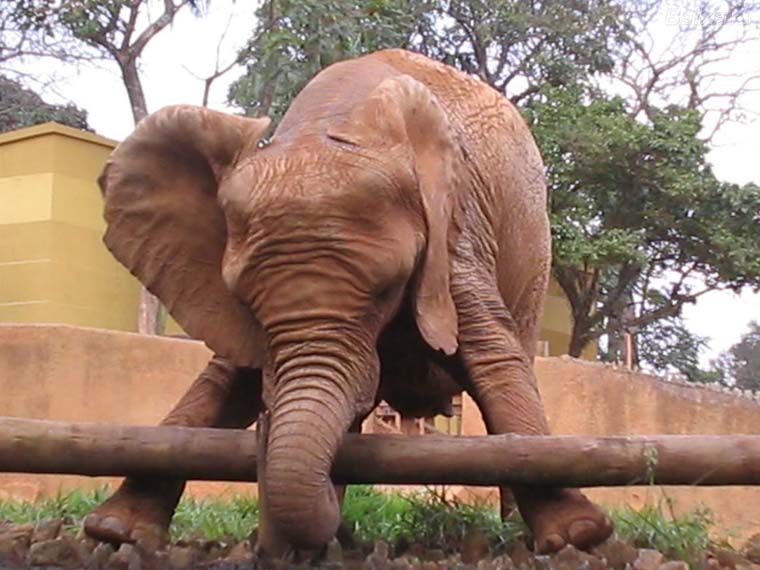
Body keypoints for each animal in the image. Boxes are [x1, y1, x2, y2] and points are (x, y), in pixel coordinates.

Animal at [85, 48, 613, 556]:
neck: (327, 123)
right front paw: (113, 533)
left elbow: (495, 362)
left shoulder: (458, 230)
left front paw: (579, 537)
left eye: (389, 288)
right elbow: (221, 385)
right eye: (241, 295)